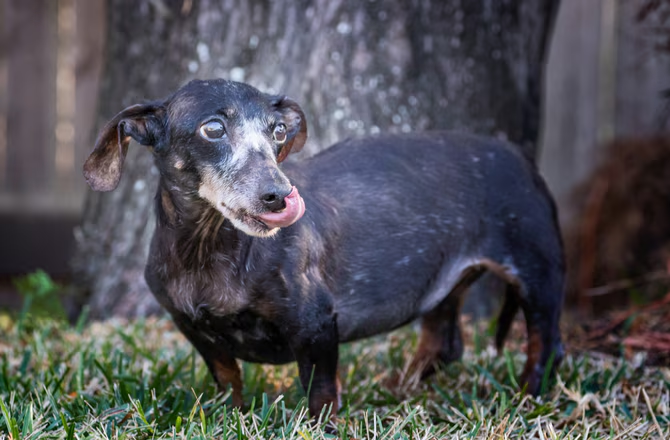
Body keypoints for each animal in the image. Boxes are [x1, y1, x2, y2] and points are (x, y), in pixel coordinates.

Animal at [84, 79, 568, 420]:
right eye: (214, 129)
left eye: (279, 131)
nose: (280, 195)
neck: (211, 250)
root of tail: (520, 157)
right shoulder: (194, 330)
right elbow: (227, 382)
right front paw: (229, 416)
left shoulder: (315, 326)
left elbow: (320, 393)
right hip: (443, 284)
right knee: (444, 342)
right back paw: (402, 388)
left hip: (539, 273)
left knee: (546, 346)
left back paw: (527, 401)